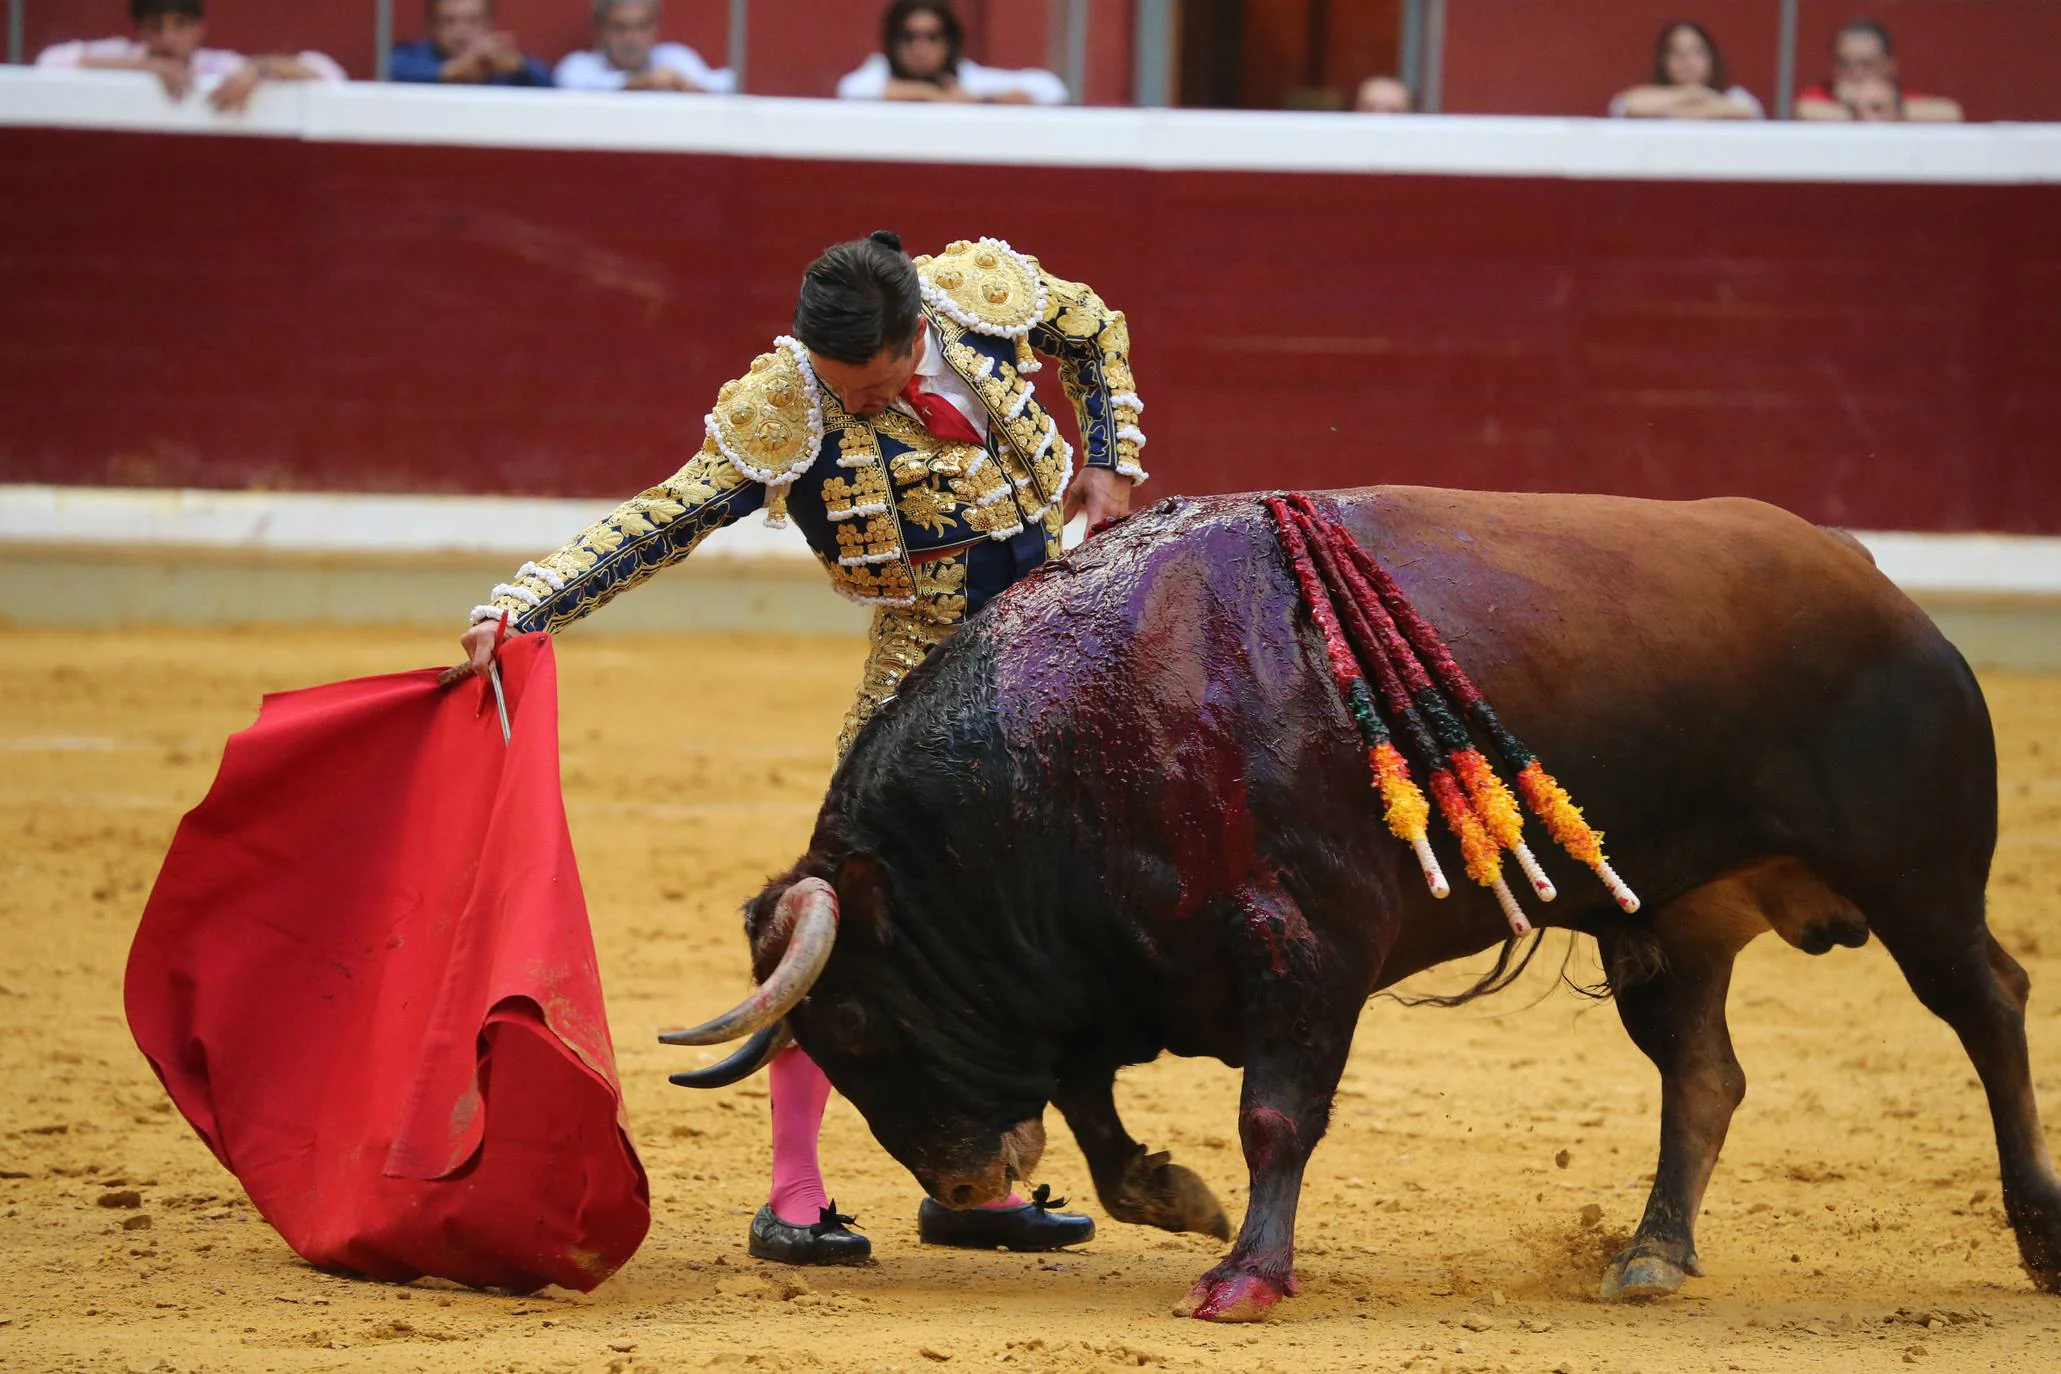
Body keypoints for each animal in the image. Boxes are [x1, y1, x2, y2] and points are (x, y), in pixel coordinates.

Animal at [663, 492, 2061, 1318]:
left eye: (853, 1026)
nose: (967, 1178)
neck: (1088, 726)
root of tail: (1869, 575)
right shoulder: (1114, 967)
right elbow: (1095, 1106)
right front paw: (1177, 1198)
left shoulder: (1309, 952)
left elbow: (1275, 1114)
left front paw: (1245, 1274)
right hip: (1671, 922)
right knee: (1704, 1074)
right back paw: (1653, 1252)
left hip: (1918, 878)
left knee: (1988, 1005)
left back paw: (2041, 1238)